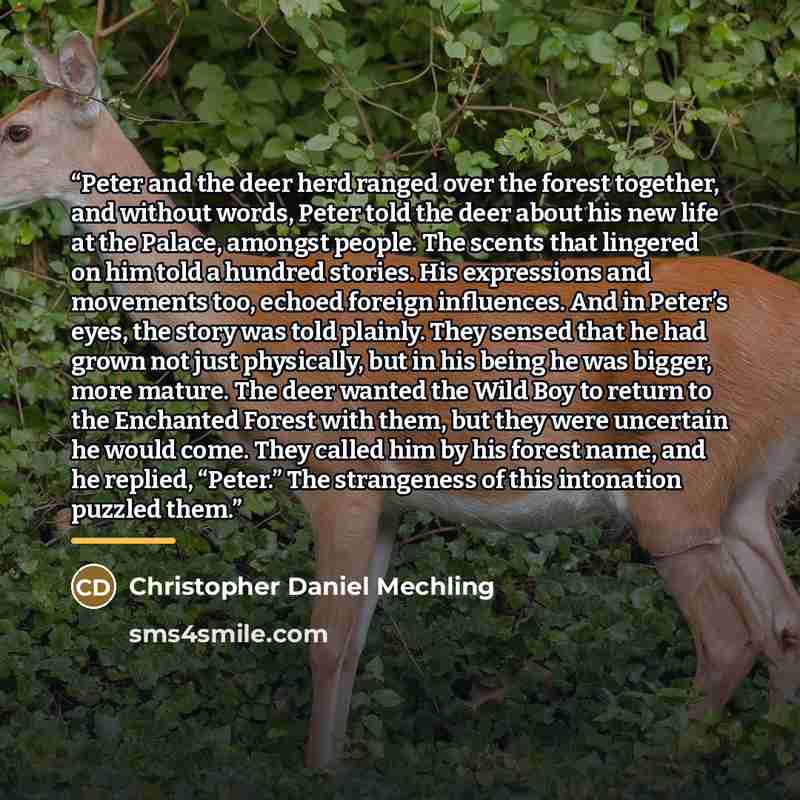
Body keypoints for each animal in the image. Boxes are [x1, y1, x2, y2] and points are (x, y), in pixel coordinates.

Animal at [3, 30, 800, 771]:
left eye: (16, 130)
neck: (248, 320)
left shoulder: (340, 477)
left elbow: (324, 646)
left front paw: (314, 771)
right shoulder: (388, 500)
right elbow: (354, 646)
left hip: (676, 480)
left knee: (730, 637)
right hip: (746, 490)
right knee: (783, 623)